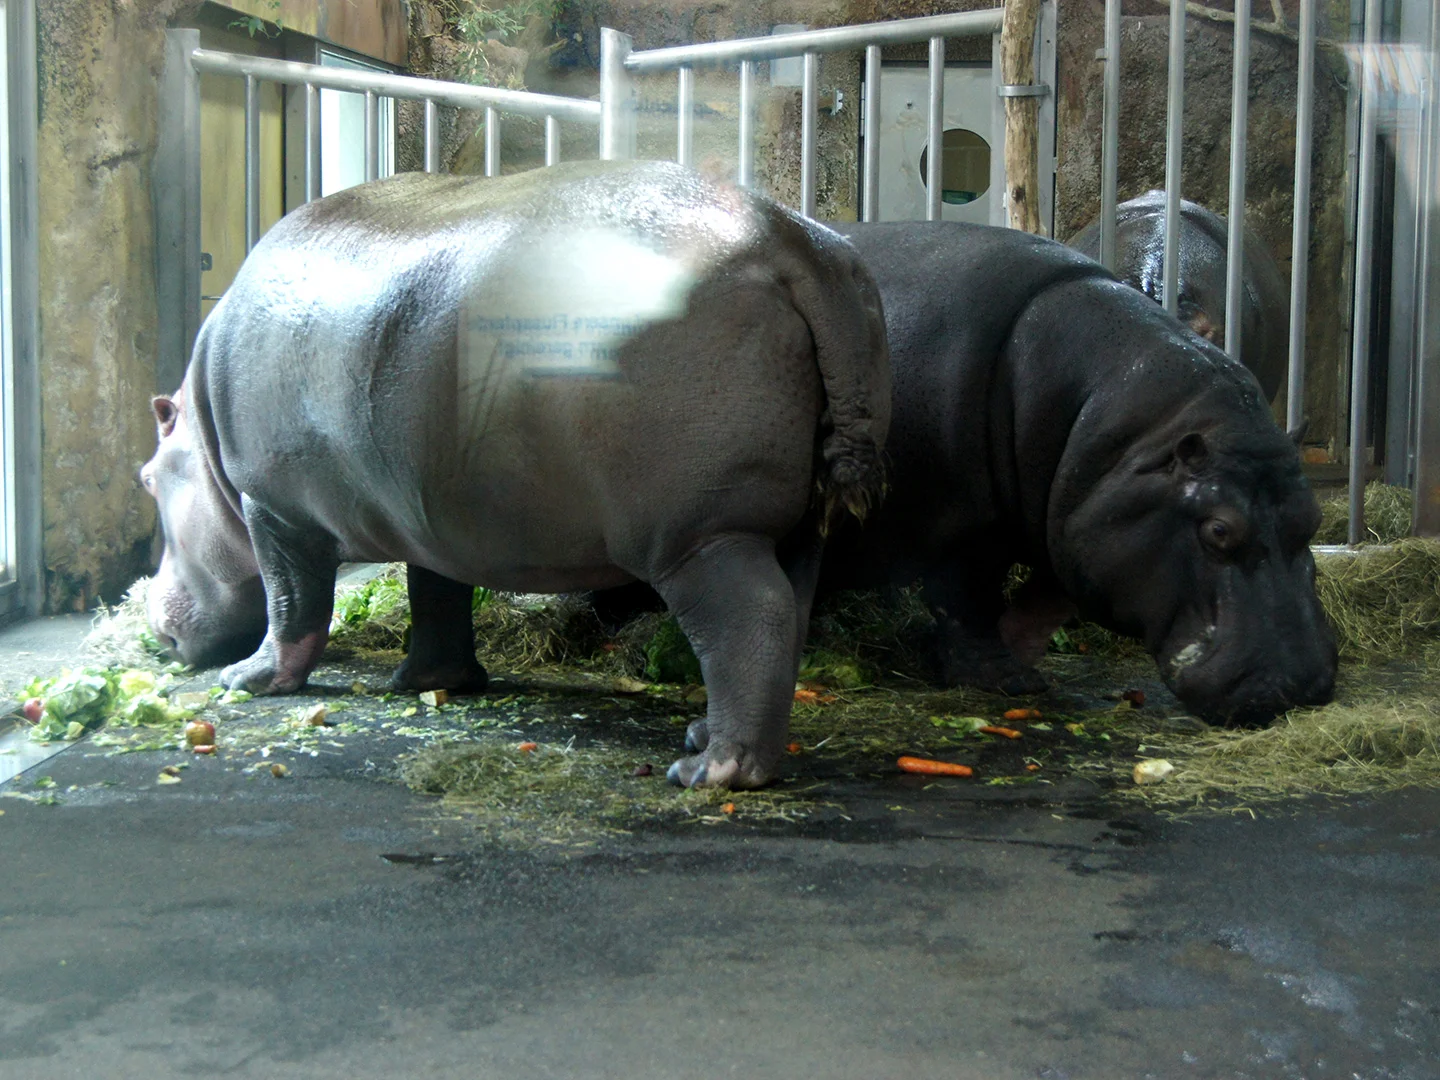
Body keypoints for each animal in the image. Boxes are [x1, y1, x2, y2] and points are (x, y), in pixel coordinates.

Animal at [143, 158, 887, 789]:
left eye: (147, 478)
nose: (152, 617)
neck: (202, 430)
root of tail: (789, 238)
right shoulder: (426, 508)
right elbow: (435, 594)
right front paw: (425, 680)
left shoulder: (273, 507)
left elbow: (291, 600)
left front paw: (249, 679)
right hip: (796, 528)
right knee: (786, 617)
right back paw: (702, 737)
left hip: (702, 534)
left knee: (750, 618)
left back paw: (713, 772)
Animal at [823, 220, 1336, 728]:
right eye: (1219, 529)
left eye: (1313, 518)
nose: (1301, 688)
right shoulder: (964, 525)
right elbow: (966, 600)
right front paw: (1008, 680)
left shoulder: (1069, 522)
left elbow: (1036, 599)